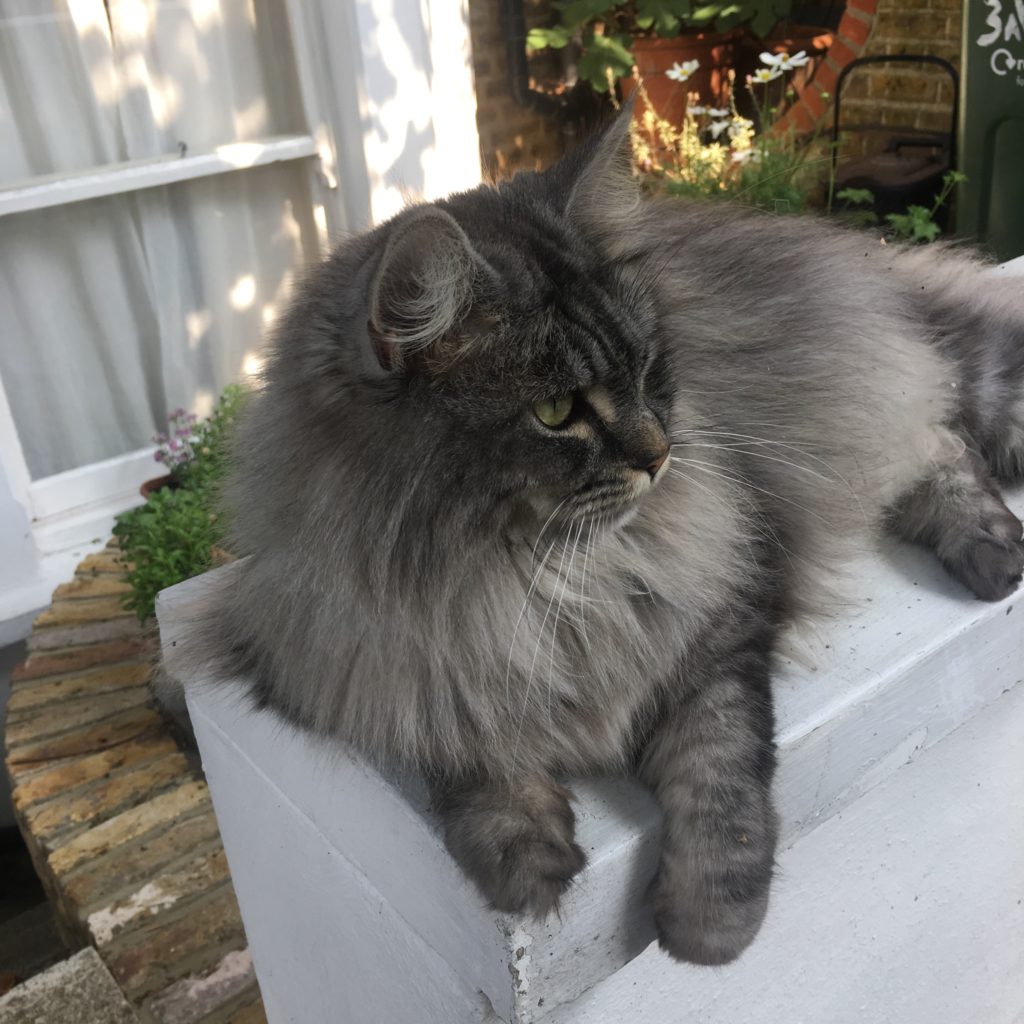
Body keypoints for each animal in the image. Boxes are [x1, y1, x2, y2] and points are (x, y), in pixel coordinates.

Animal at [184, 114, 1024, 966]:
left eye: (649, 370)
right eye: (557, 411)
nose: (660, 455)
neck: (533, 576)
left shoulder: (726, 621)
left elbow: (722, 772)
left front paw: (710, 924)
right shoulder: (366, 656)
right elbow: (457, 744)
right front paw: (524, 855)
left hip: (946, 393)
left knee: (948, 444)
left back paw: (999, 555)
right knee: (937, 447)